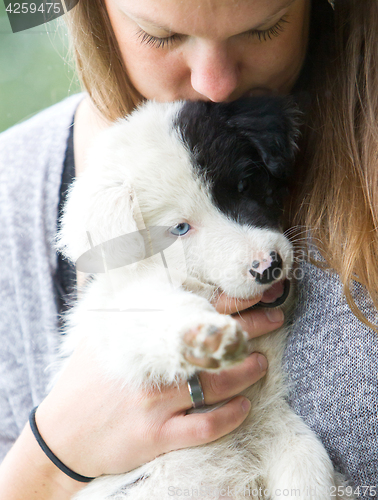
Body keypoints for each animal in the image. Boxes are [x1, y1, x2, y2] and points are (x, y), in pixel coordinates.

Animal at [56, 98, 354, 500]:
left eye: (245, 183)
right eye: (180, 228)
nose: (267, 267)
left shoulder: (272, 418)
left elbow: (309, 469)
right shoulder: (116, 317)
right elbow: (156, 307)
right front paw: (204, 331)